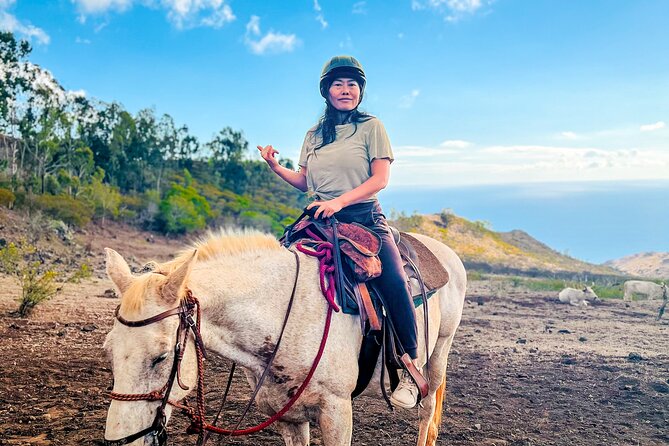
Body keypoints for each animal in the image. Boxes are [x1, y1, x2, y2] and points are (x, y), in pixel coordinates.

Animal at [103, 228, 466, 446]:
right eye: (109, 352)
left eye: (161, 356)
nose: (121, 441)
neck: (283, 315)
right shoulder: (288, 416)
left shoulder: (336, 412)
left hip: (439, 353)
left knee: (426, 410)